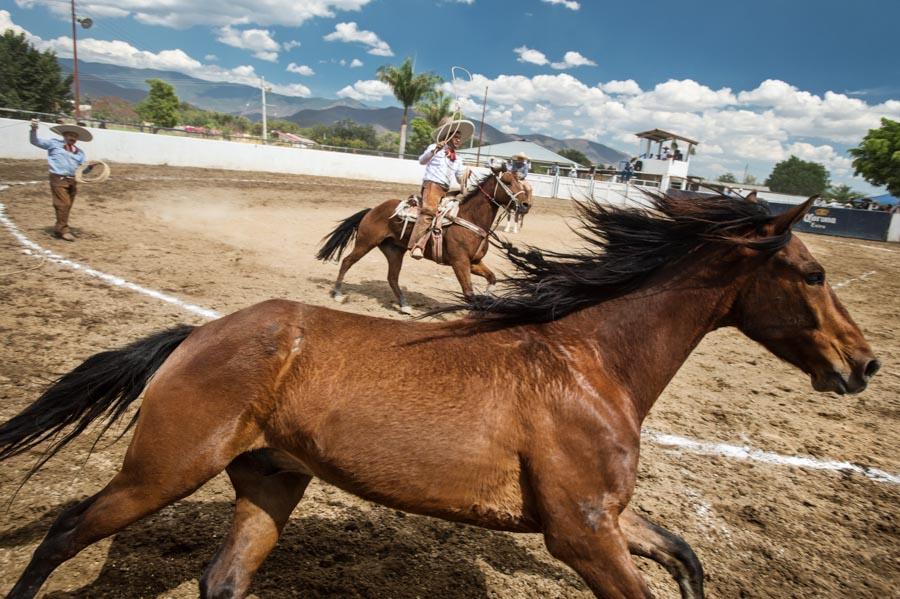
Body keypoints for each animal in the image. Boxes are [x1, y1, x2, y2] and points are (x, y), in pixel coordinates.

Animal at [0, 193, 876, 599]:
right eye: (812, 273)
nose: (864, 364)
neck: (591, 362)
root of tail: (196, 332)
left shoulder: (603, 515)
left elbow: (687, 553)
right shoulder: (581, 534)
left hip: (270, 482)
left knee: (223, 579)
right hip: (162, 469)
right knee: (63, 534)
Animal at [316, 165, 532, 312]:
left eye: (520, 181)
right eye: (508, 182)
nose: (526, 205)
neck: (470, 218)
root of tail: (373, 209)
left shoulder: (474, 262)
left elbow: (492, 278)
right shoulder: (459, 262)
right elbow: (469, 292)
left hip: (394, 250)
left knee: (392, 277)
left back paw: (404, 305)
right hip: (365, 242)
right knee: (347, 261)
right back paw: (338, 294)